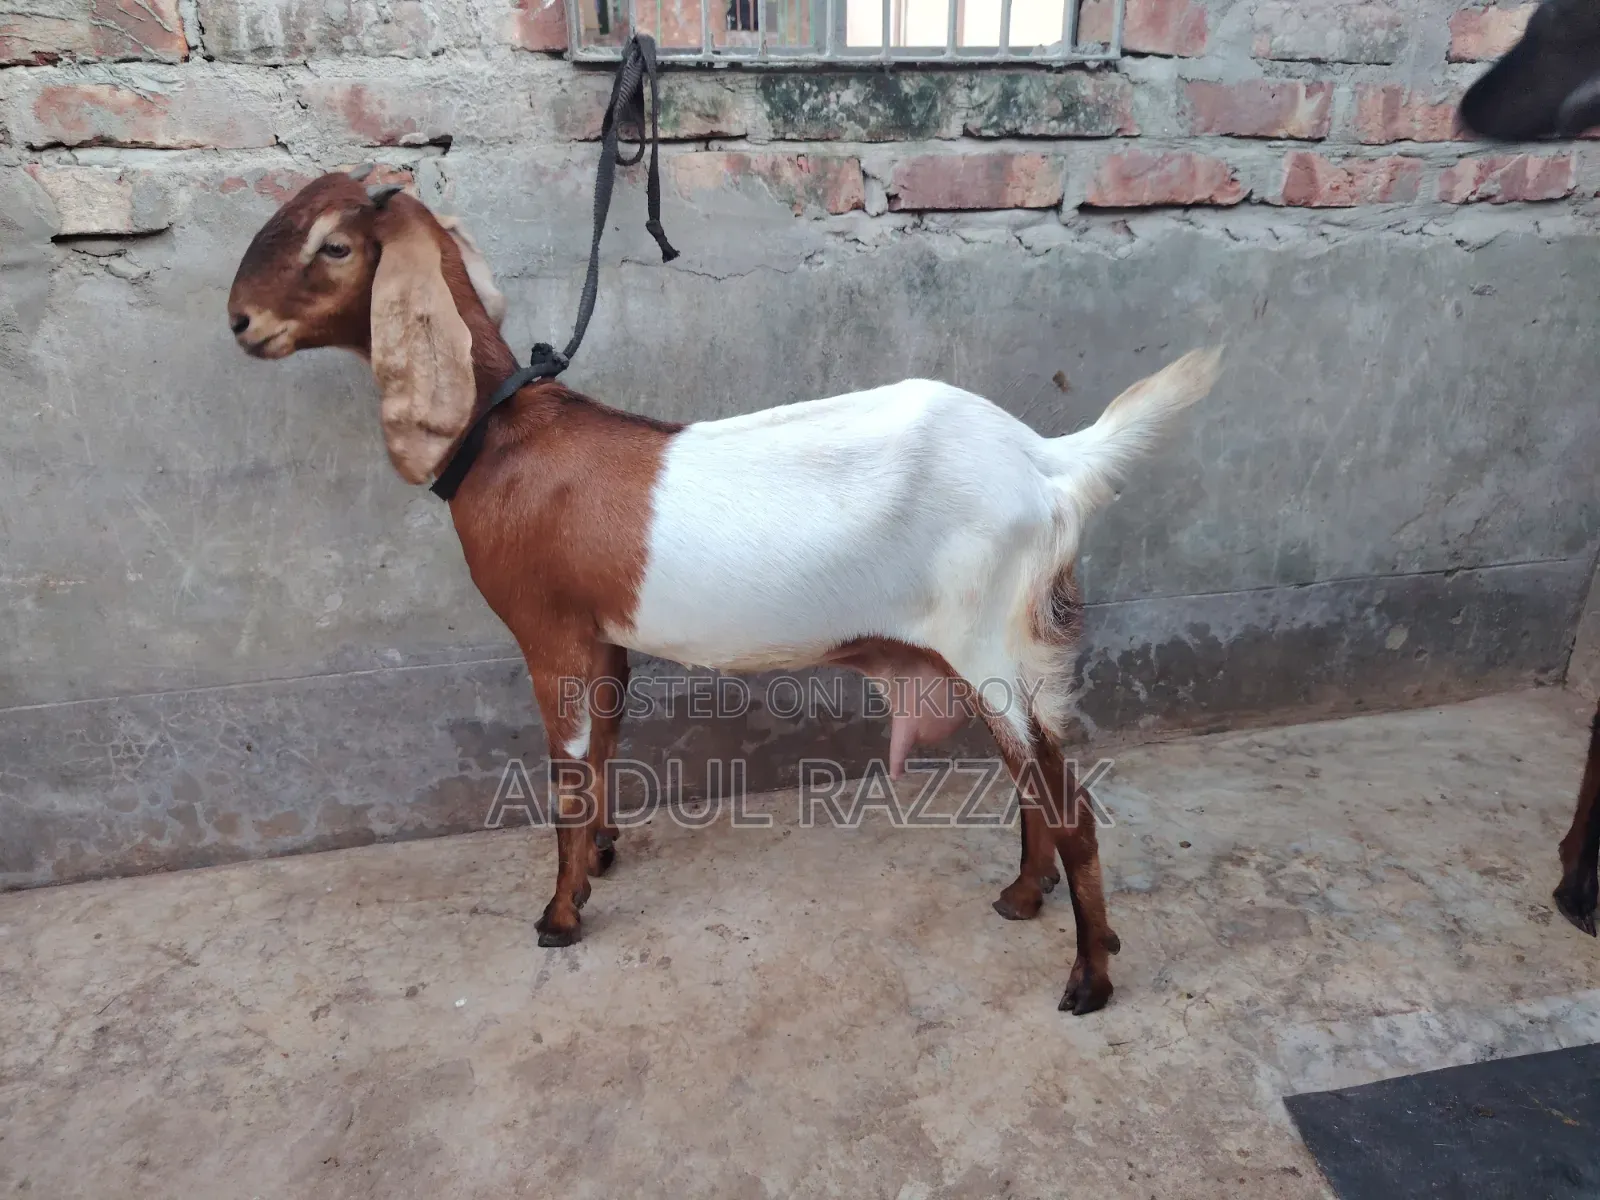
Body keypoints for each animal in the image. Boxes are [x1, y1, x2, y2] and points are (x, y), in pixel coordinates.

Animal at [226, 171, 1223, 1013]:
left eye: (333, 246)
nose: (239, 322)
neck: (505, 439)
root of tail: (1046, 461)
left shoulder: (550, 632)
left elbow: (567, 772)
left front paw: (560, 914)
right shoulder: (604, 637)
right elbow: (605, 749)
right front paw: (602, 860)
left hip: (993, 642)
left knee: (1072, 806)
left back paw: (1089, 978)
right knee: (1035, 787)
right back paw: (1021, 896)